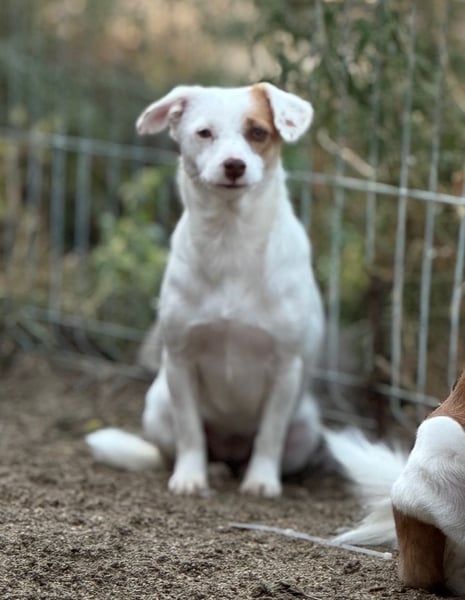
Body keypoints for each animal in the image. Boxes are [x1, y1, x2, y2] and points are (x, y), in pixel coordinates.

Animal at [86, 83, 326, 497]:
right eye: (204, 133)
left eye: (258, 132)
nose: (234, 165)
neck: (229, 243)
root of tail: (230, 451)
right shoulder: (180, 361)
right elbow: (190, 431)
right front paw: (190, 476)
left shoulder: (286, 368)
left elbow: (270, 434)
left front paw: (261, 481)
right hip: (157, 405)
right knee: (175, 449)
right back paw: (210, 469)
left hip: (307, 429)